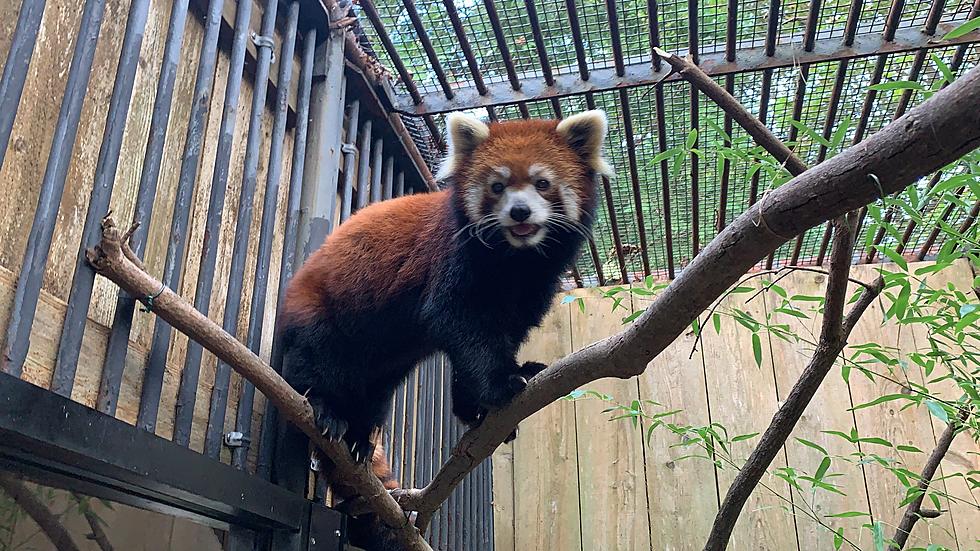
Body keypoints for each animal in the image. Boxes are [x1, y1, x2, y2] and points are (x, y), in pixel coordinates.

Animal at [278, 111, 604, 516]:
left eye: (542, 183)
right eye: (497, 186)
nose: (520, 211)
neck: (514, 261)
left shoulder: (531, 289)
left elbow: (500, 338)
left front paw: (484, 398)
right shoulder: (452, 262)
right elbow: (460, 328)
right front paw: (498, 386)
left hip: (383, 366)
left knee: (374, 393)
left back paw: (360, 439)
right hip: (320, 311)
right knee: (312, 359)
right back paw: (323, 408)